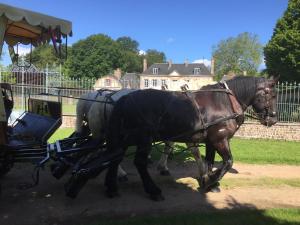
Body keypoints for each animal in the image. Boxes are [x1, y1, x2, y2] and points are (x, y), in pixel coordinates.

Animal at [65, 76, 278, 200]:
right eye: (272, 95)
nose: (274, 118)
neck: (222, 101)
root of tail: (121, 99)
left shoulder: (211, 139)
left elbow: (208, 160)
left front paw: (209, 181)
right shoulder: (219, 139)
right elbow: (226, 162)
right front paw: (209, 181)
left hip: (123, 137)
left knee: (113, 157)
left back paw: (111, 186)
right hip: (142, 137)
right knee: (137, 162)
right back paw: (152, 190)